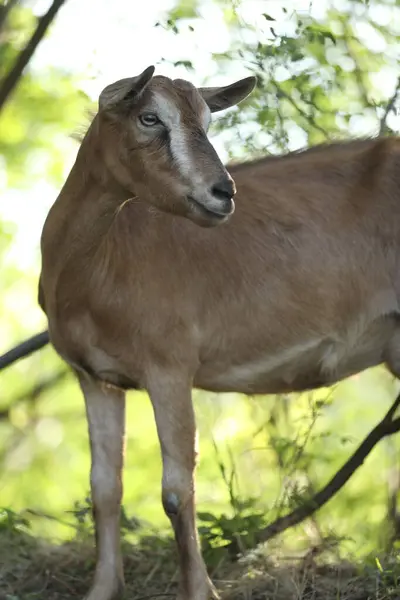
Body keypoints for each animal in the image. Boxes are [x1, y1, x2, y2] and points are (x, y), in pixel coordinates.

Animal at [39, 65, 400, 600]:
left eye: (208, 121)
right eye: (149, 117)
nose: (223, 192)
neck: (99, 265)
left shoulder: (168, 366)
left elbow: (176, 491)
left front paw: (200, 591)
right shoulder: (94, 376)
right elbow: (104, 487)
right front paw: (101, 589)